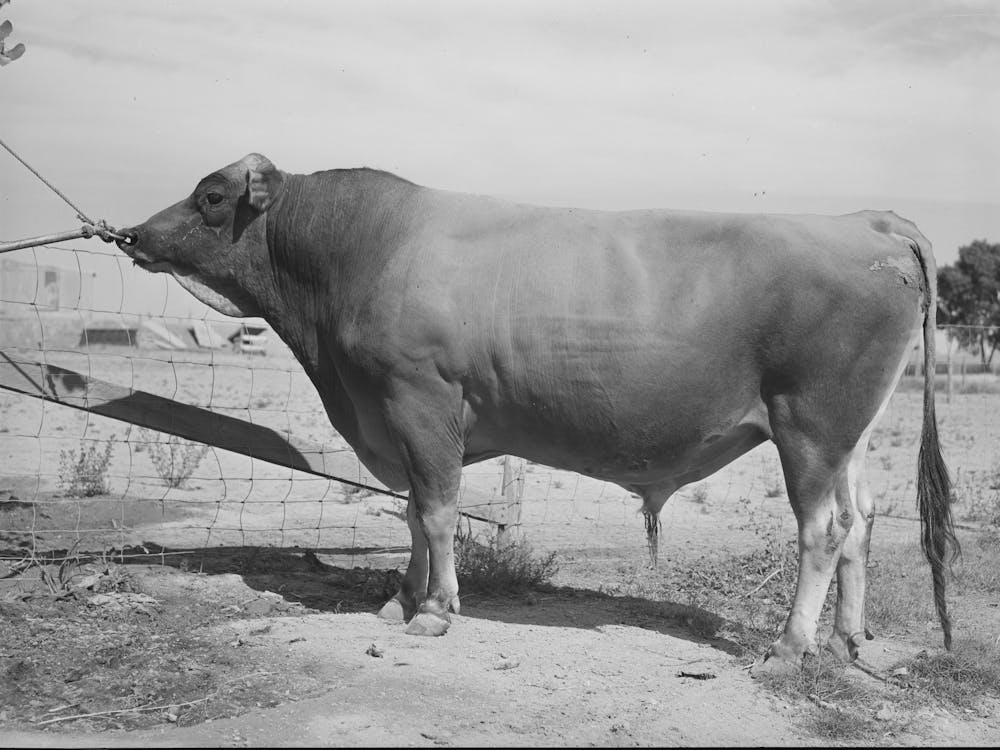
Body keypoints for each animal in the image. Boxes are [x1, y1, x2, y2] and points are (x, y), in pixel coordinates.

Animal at [116, 153, 958, 674]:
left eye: (211, 196)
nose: (131, 235)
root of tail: (866, 220)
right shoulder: (399, 415)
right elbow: (414, 513)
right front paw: (401, 600)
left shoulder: (419, 399)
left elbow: (436, 512)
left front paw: (435, 610)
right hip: (846, 434)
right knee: (862, 518)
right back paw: (846, 639)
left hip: (809, 424)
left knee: (824, 528)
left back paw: (789, 645)